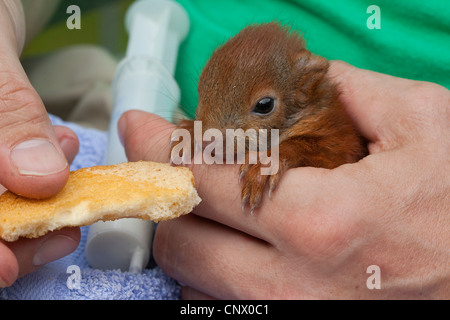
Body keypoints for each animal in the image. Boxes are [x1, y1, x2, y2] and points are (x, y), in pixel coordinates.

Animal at [171, 22, 368, 212]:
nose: (205, 142)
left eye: (264, 105)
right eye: (200, 88)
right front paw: (188, 132)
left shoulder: (339, 142)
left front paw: (265, 163)